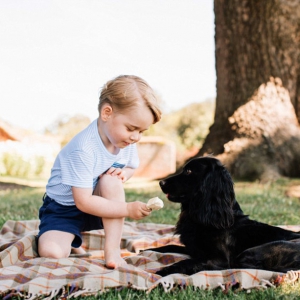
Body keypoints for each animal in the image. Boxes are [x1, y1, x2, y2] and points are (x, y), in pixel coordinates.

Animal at [151, 157, 300, 276]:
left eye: (189, 171)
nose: (161, 182)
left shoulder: (220, 259)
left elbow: (187, 262)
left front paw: (164, 271)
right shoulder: (193, 249)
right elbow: (167, 247)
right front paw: (147, 250)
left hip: (248, 254)